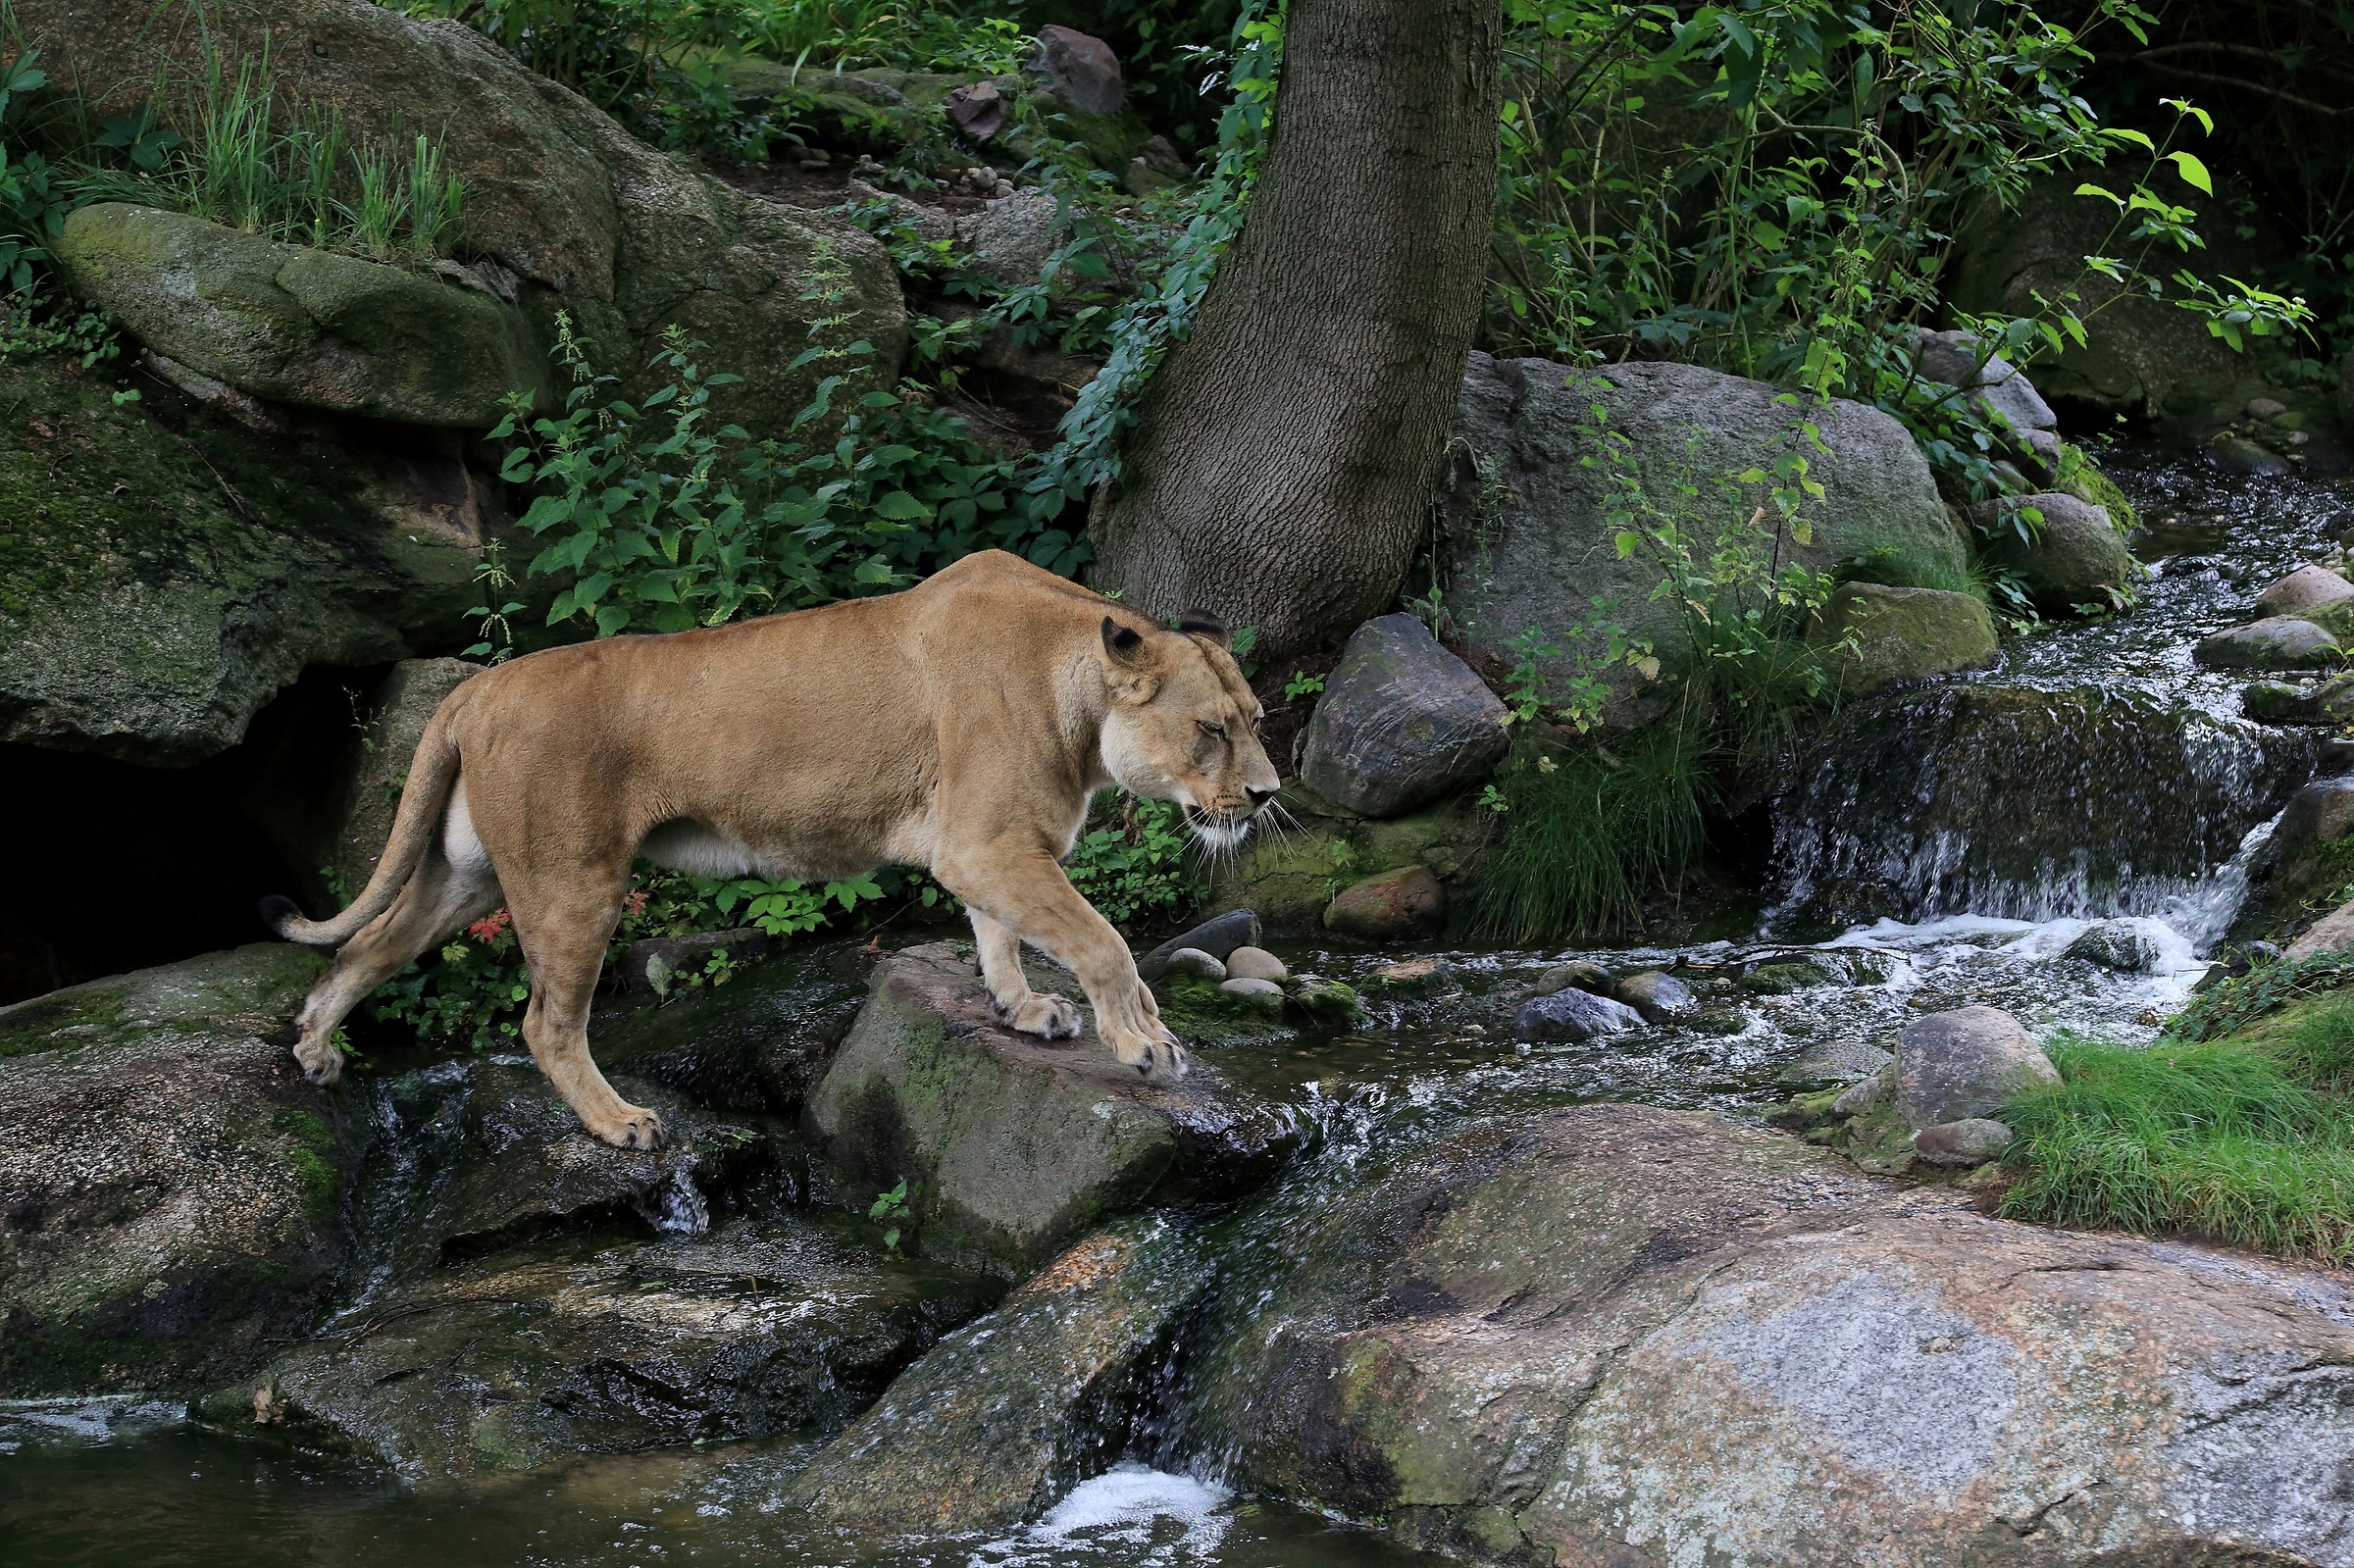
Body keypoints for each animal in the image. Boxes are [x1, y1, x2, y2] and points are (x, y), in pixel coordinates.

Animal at [262, 550, 1281, 1149]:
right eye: (1212, 731)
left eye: (1258, 722)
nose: (1268, 794)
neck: (1075, 687)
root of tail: (475, 689)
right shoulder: (986, 845)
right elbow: (1103, 941)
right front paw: (1145, 1044)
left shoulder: (986, 847)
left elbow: (1002, 936)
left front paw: (1024, 1008)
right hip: (571, 880)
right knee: (545, 1022)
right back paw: (621, 1122)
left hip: (467, 873)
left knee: (368, 946)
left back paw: (314, 1047)